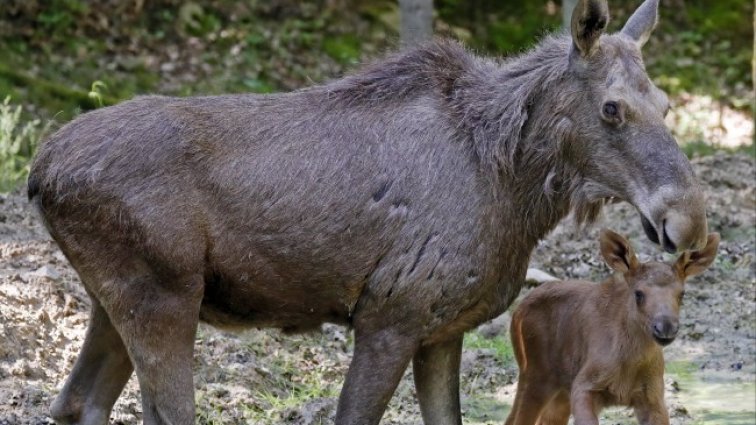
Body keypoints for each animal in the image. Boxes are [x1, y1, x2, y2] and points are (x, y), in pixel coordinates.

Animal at [504, 230, 716, 422]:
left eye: (682, 294)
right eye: (638, 293)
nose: (665, 327)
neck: (629, 363)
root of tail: (517, 311)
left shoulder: (653, 395)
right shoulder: (584, 384)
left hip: (560, 388)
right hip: (536, 373)